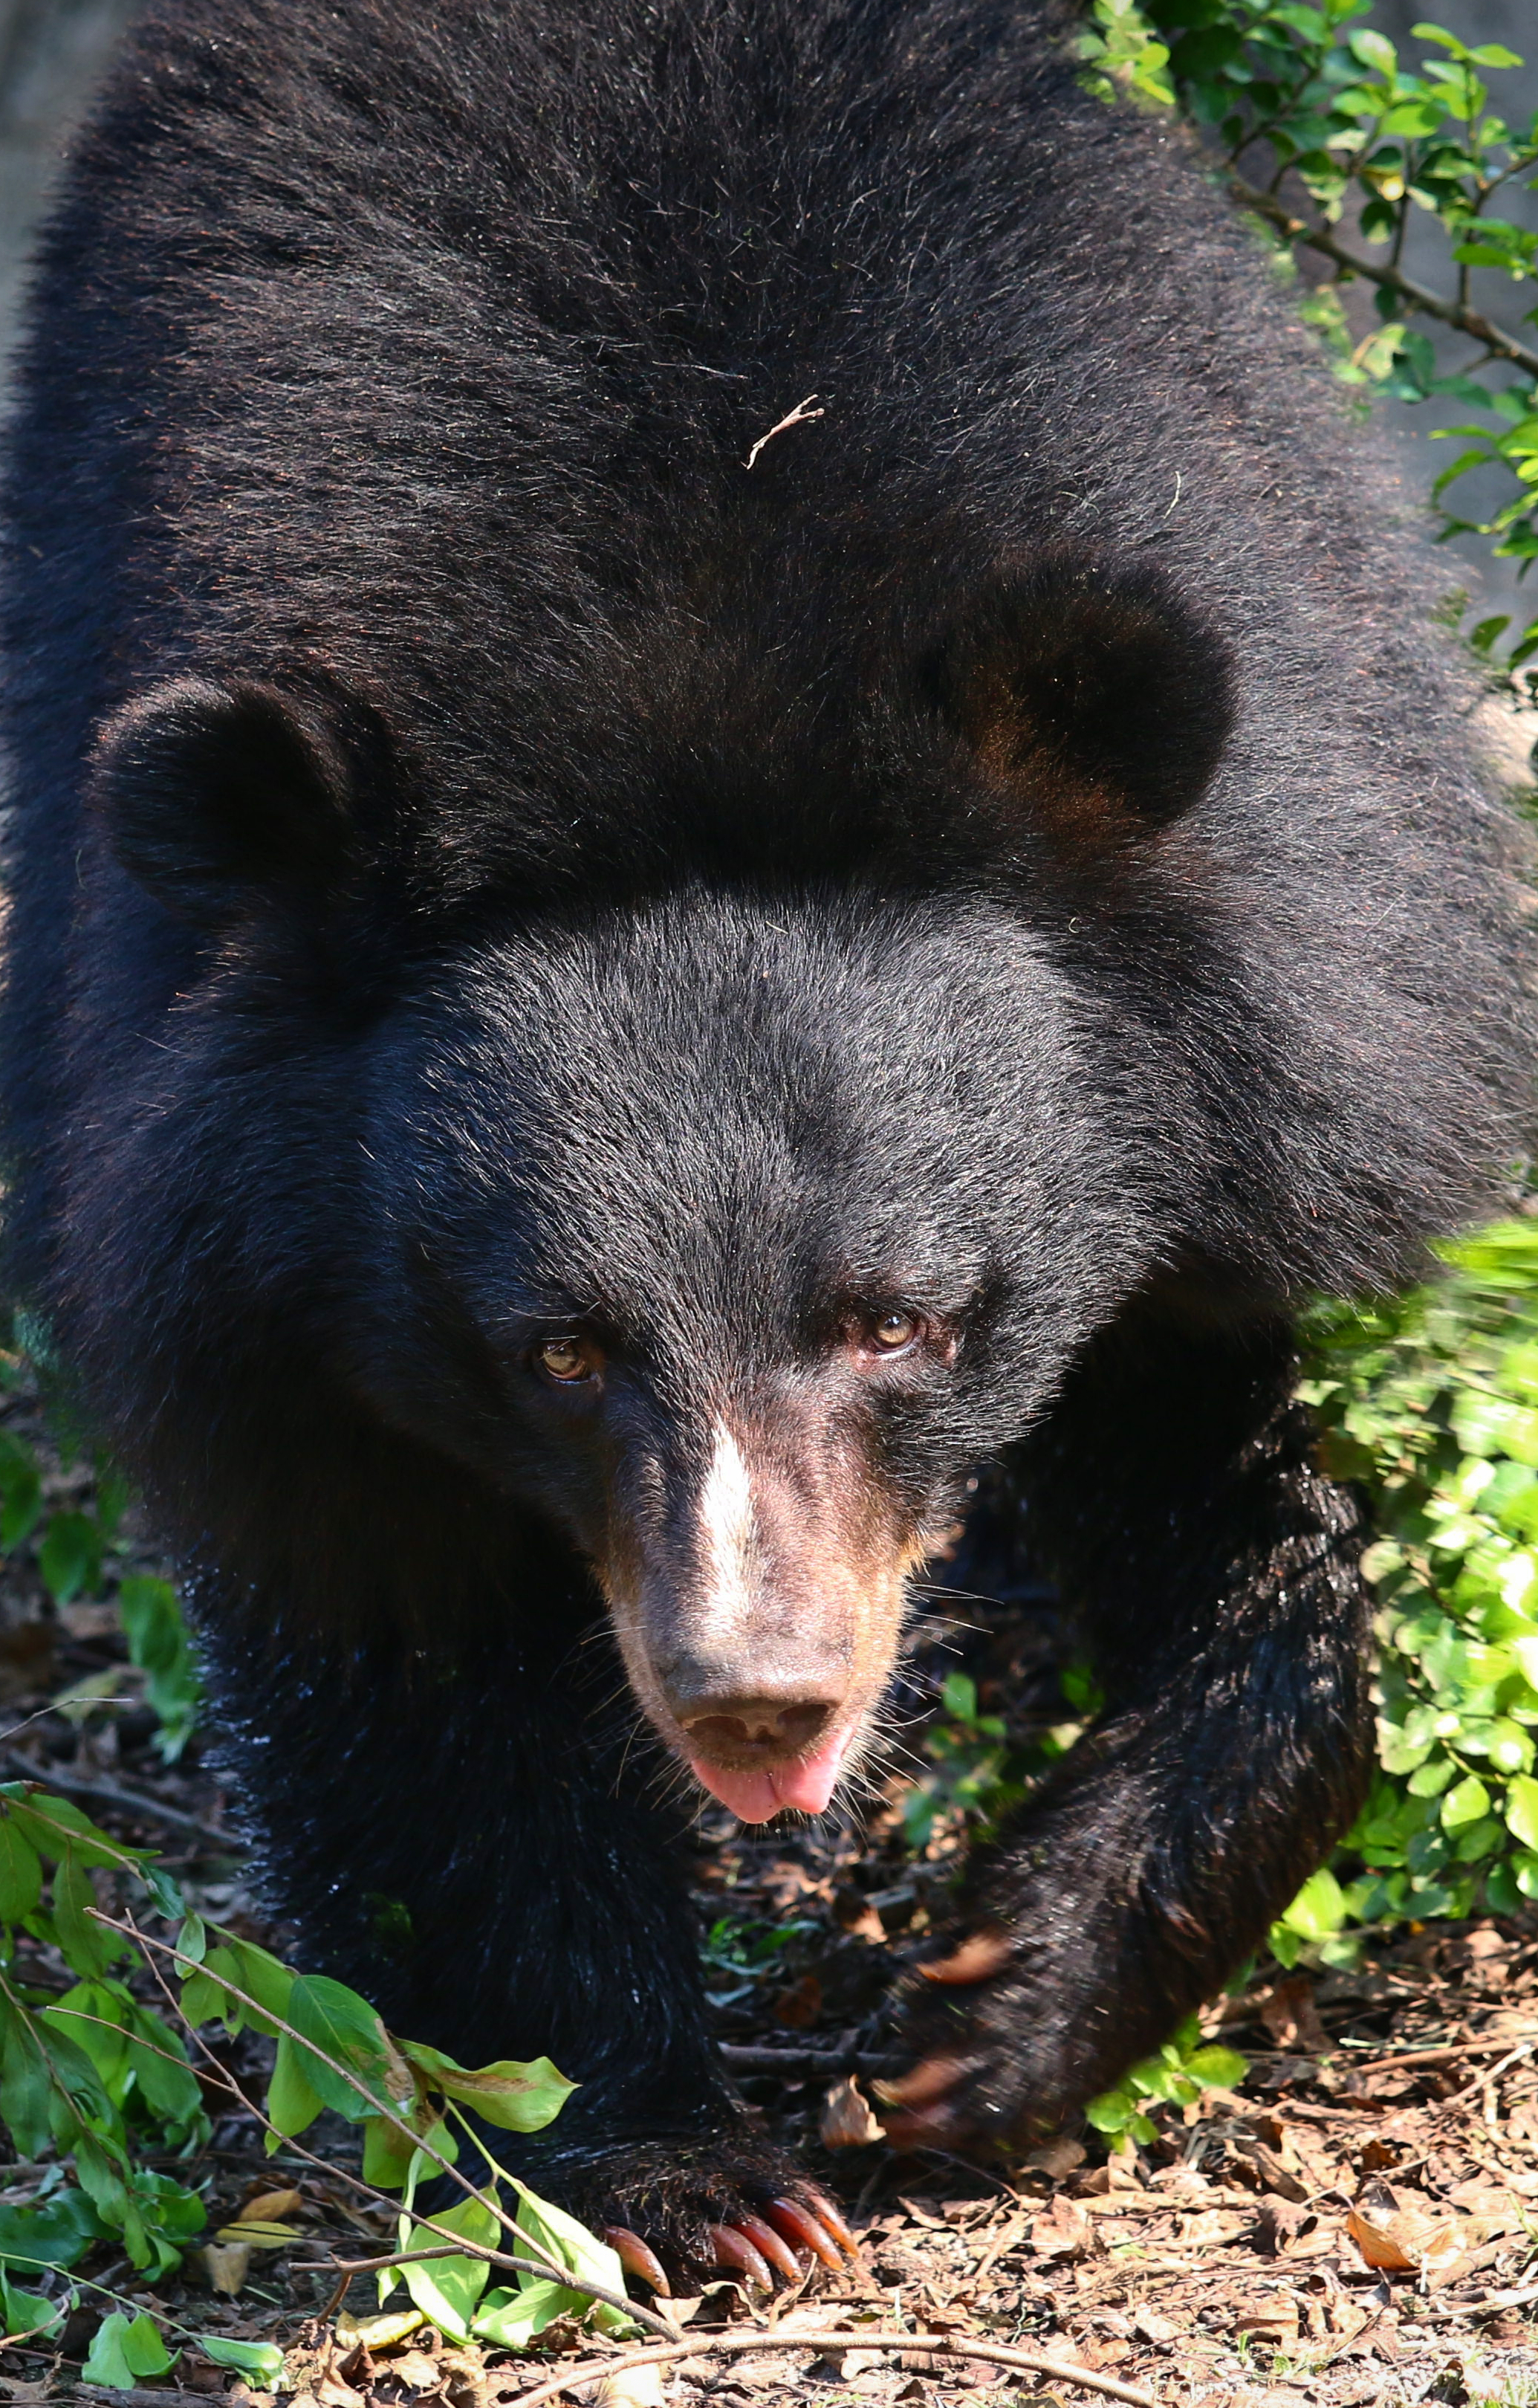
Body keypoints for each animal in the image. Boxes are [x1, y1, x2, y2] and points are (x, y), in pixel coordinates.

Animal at [1, 0, 1532, 2293]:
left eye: (901, 1321)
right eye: (555, 1350)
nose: (755, 1705)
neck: (659, 693)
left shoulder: (1267, 1004)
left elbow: (1255, 1487)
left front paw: (994, 2004)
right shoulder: (219, 1205)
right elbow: (386, 1638)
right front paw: (687, 2168)